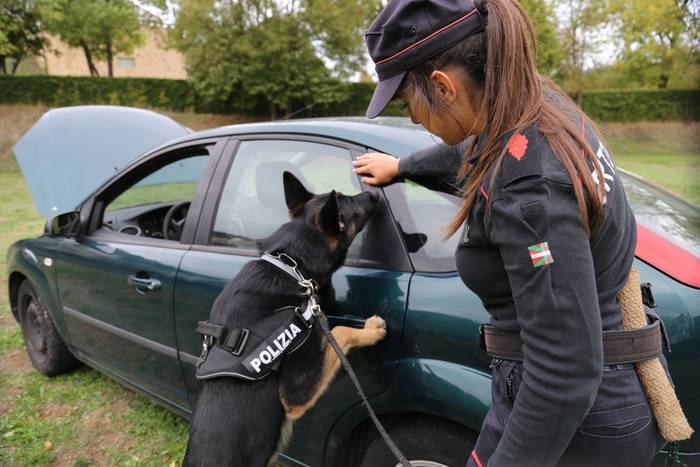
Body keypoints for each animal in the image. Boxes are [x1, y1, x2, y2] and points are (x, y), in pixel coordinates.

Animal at [183, 173, 386, 467]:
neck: (290, 264)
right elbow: (339, 329)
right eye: (349, 203)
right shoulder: (294, 395)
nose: (375, 194)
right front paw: (371, 329)